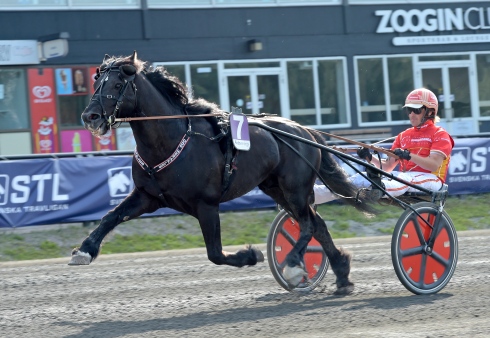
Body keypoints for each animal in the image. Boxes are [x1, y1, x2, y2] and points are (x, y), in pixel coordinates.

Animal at [70, 51, 376, 294]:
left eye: (117, 84)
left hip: (295, 188)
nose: (89, 116)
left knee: (309, 225)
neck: (171, 140)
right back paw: (342, 277)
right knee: (318, 225)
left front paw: (250, 255)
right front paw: (84, 250)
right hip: (276, 188)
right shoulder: (148, 196)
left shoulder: (206, 205)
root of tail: (304, 130)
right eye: (96, 83)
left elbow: (215, 254)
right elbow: (111, 216)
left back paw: (293, 265)